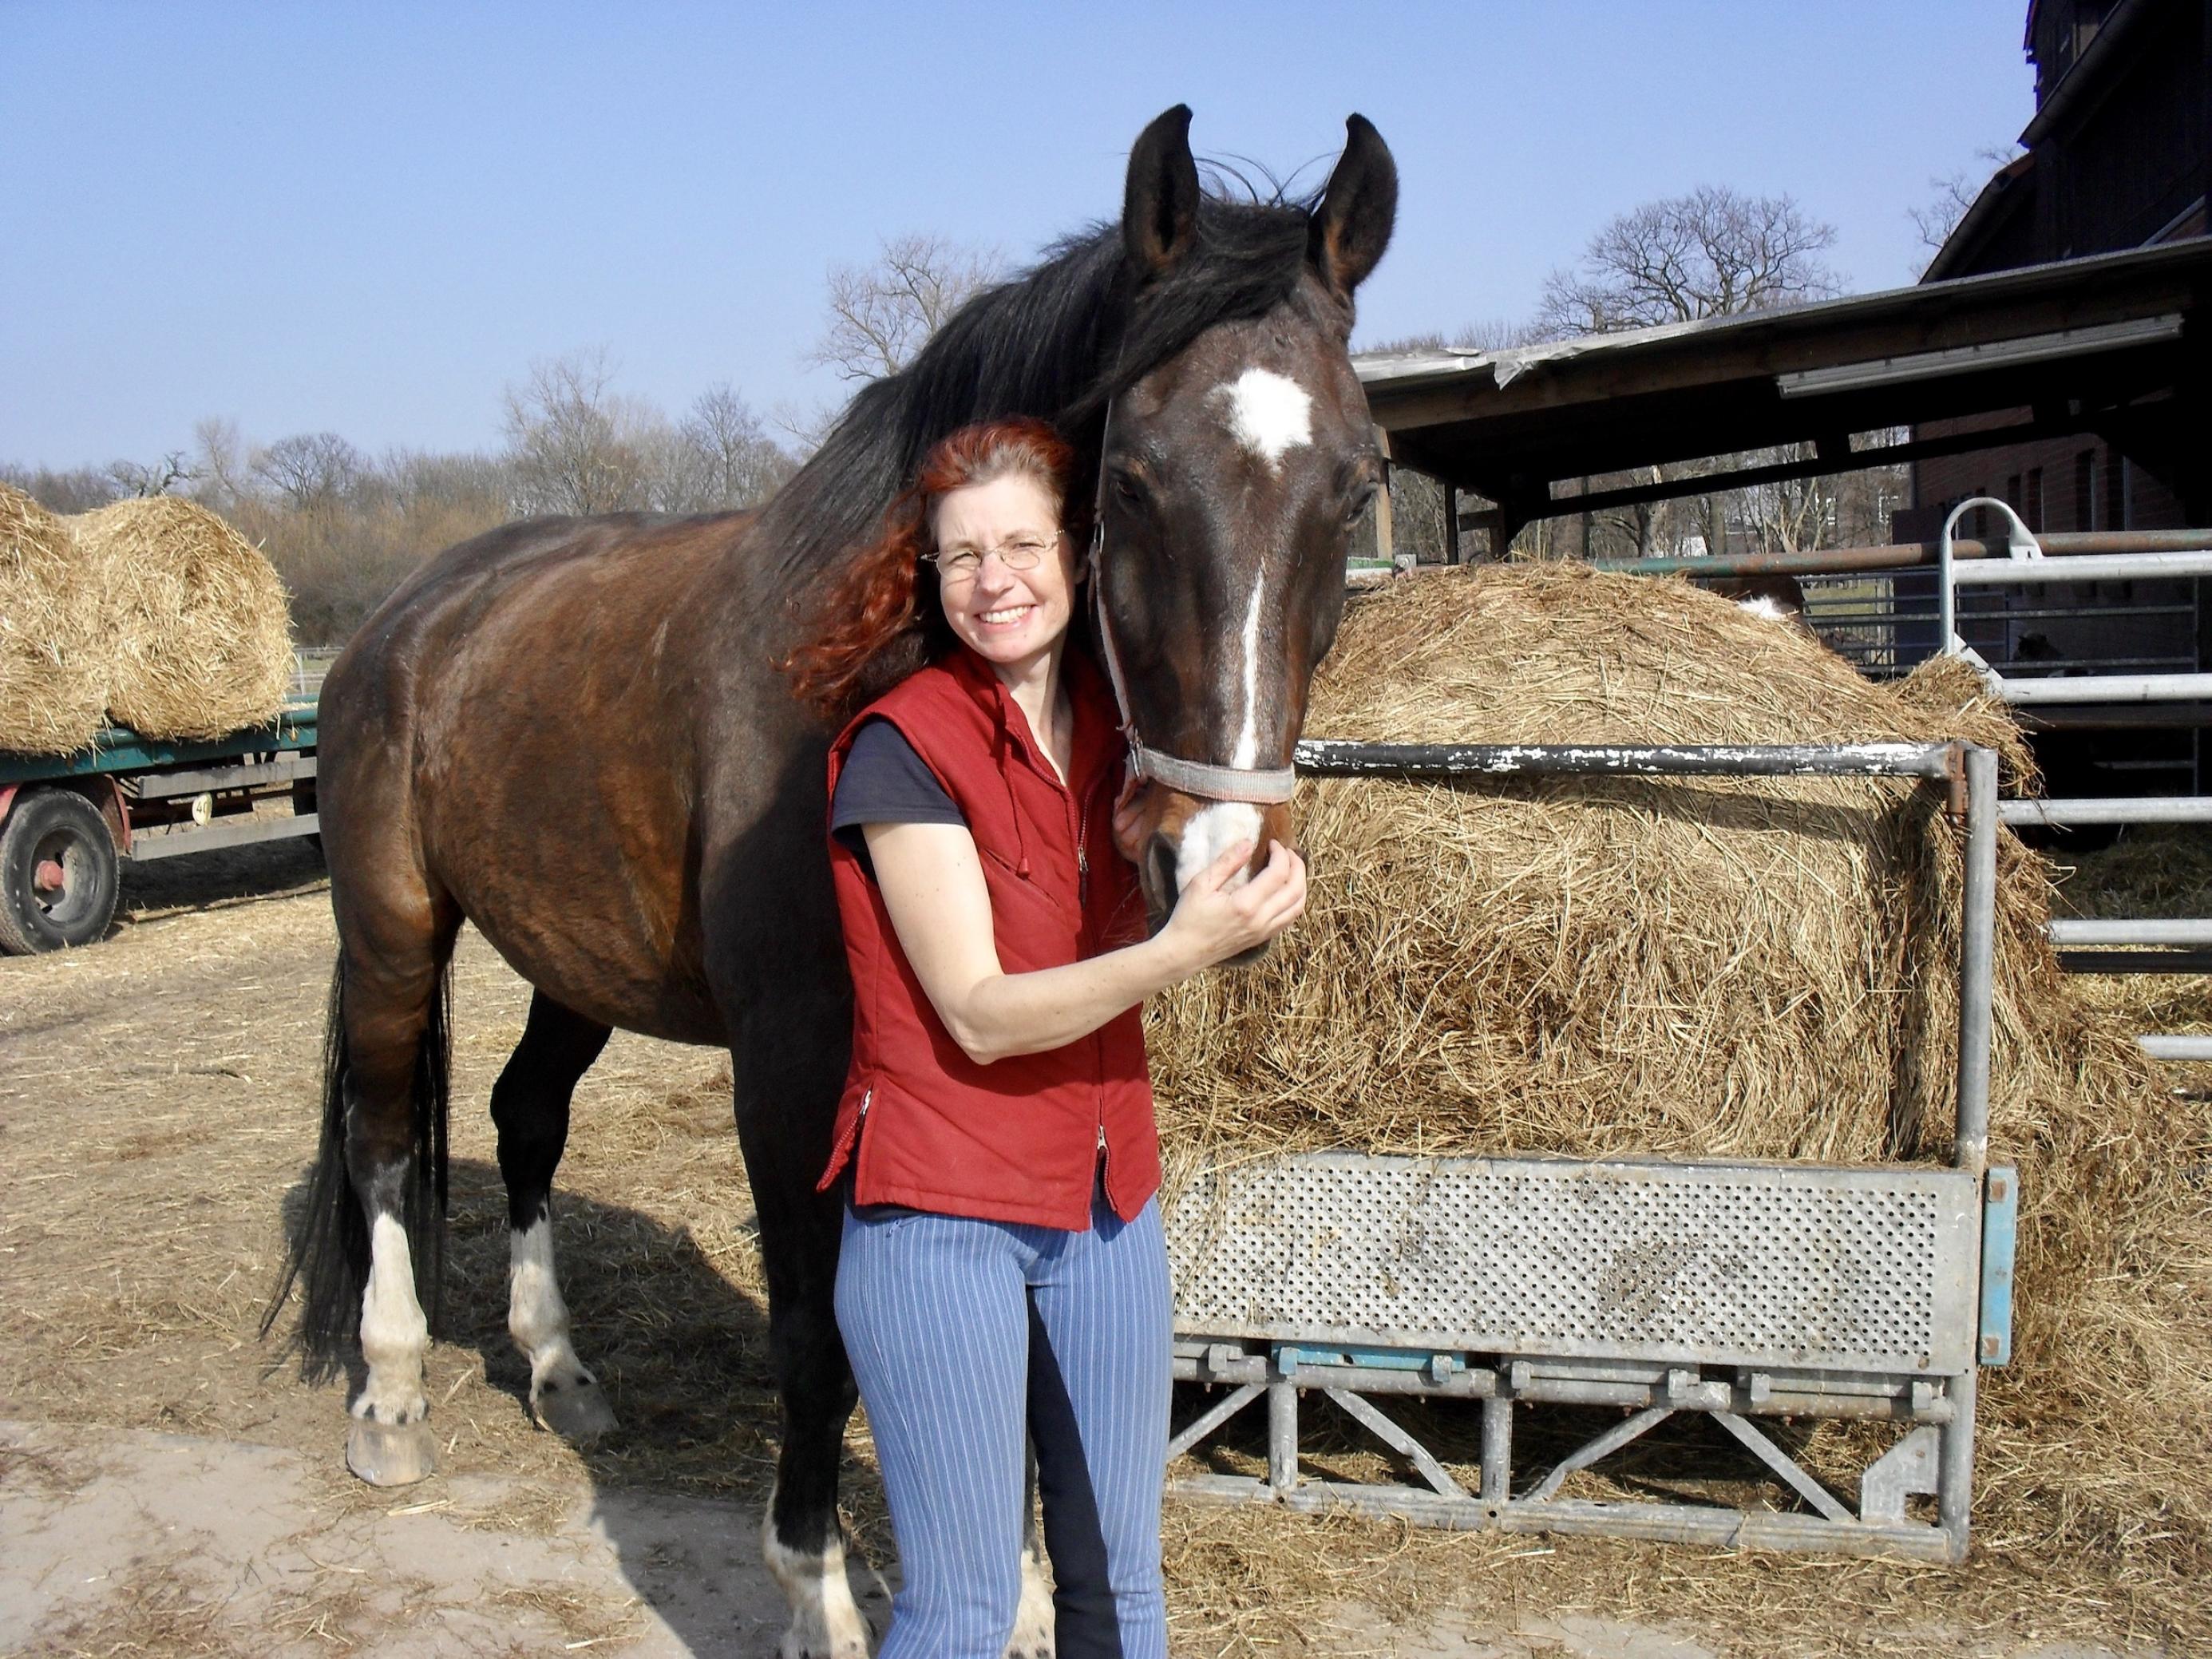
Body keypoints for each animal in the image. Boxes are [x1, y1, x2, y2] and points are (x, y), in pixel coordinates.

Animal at [267, 107, 1389, 1659]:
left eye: (1354, 482)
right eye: (1132, 477)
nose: (1218, 859)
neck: (857, 669)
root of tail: (407, 617)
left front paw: (1023, 1595)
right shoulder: (796, 1058)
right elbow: (814, 1330)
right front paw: (818, 1591)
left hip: (571, 957)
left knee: (525, 1116)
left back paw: (559, 1370)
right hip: (393, 935)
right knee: (382, 1134)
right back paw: (387, 1395)